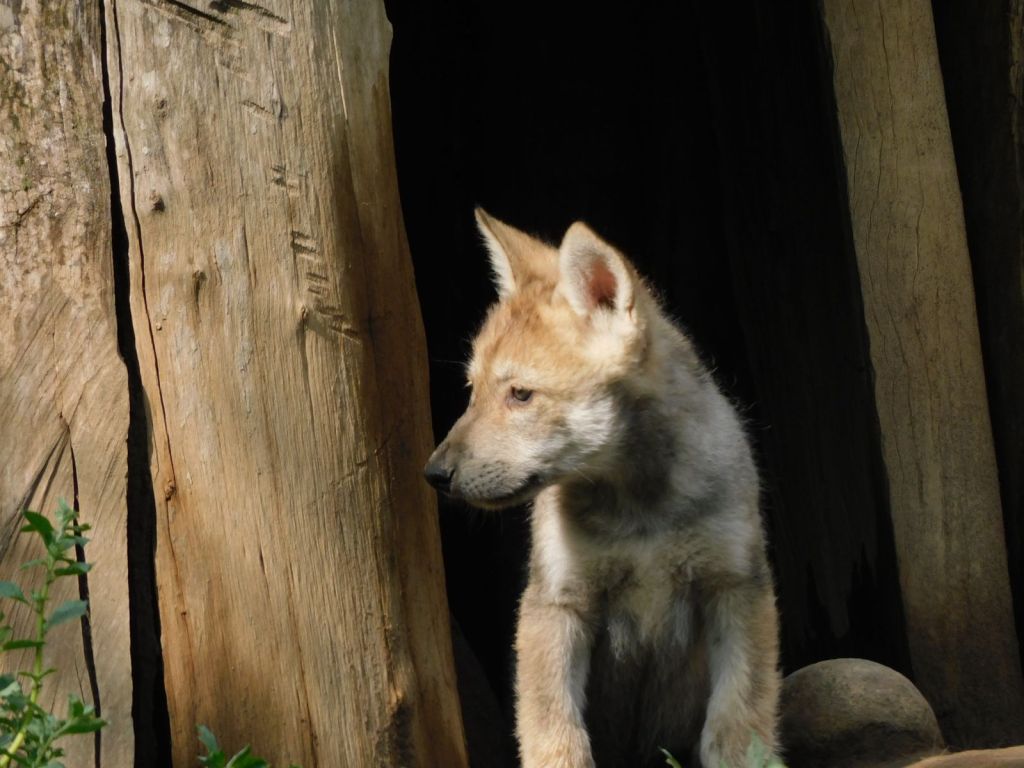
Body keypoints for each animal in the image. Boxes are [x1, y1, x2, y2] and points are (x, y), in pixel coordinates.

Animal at [424, 210, 780, 768]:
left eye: (520, 394)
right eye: (471, 390)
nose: (434, 474)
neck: (641, 514)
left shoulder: (736, 586)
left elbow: (737, 728)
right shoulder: (558, 604)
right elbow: (556, 737)